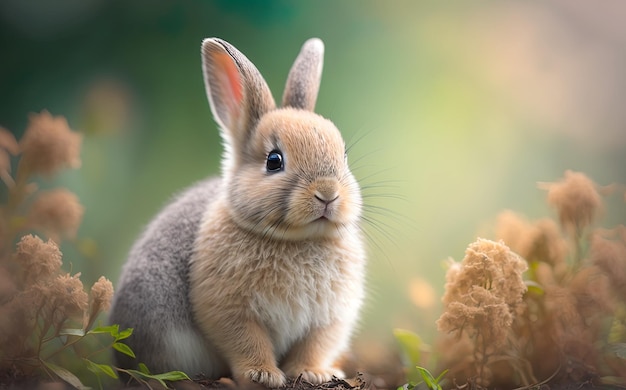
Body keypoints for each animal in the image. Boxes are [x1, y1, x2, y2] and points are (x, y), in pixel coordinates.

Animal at [108, 36, 366, 386]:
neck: (296, 239)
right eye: (274, 161)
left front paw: (314, 373)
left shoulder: (328, 319)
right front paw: (263, 375)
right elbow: (247, 341)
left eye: (344, 157)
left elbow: (313, 346)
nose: (328, 193)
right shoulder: (230, 309)